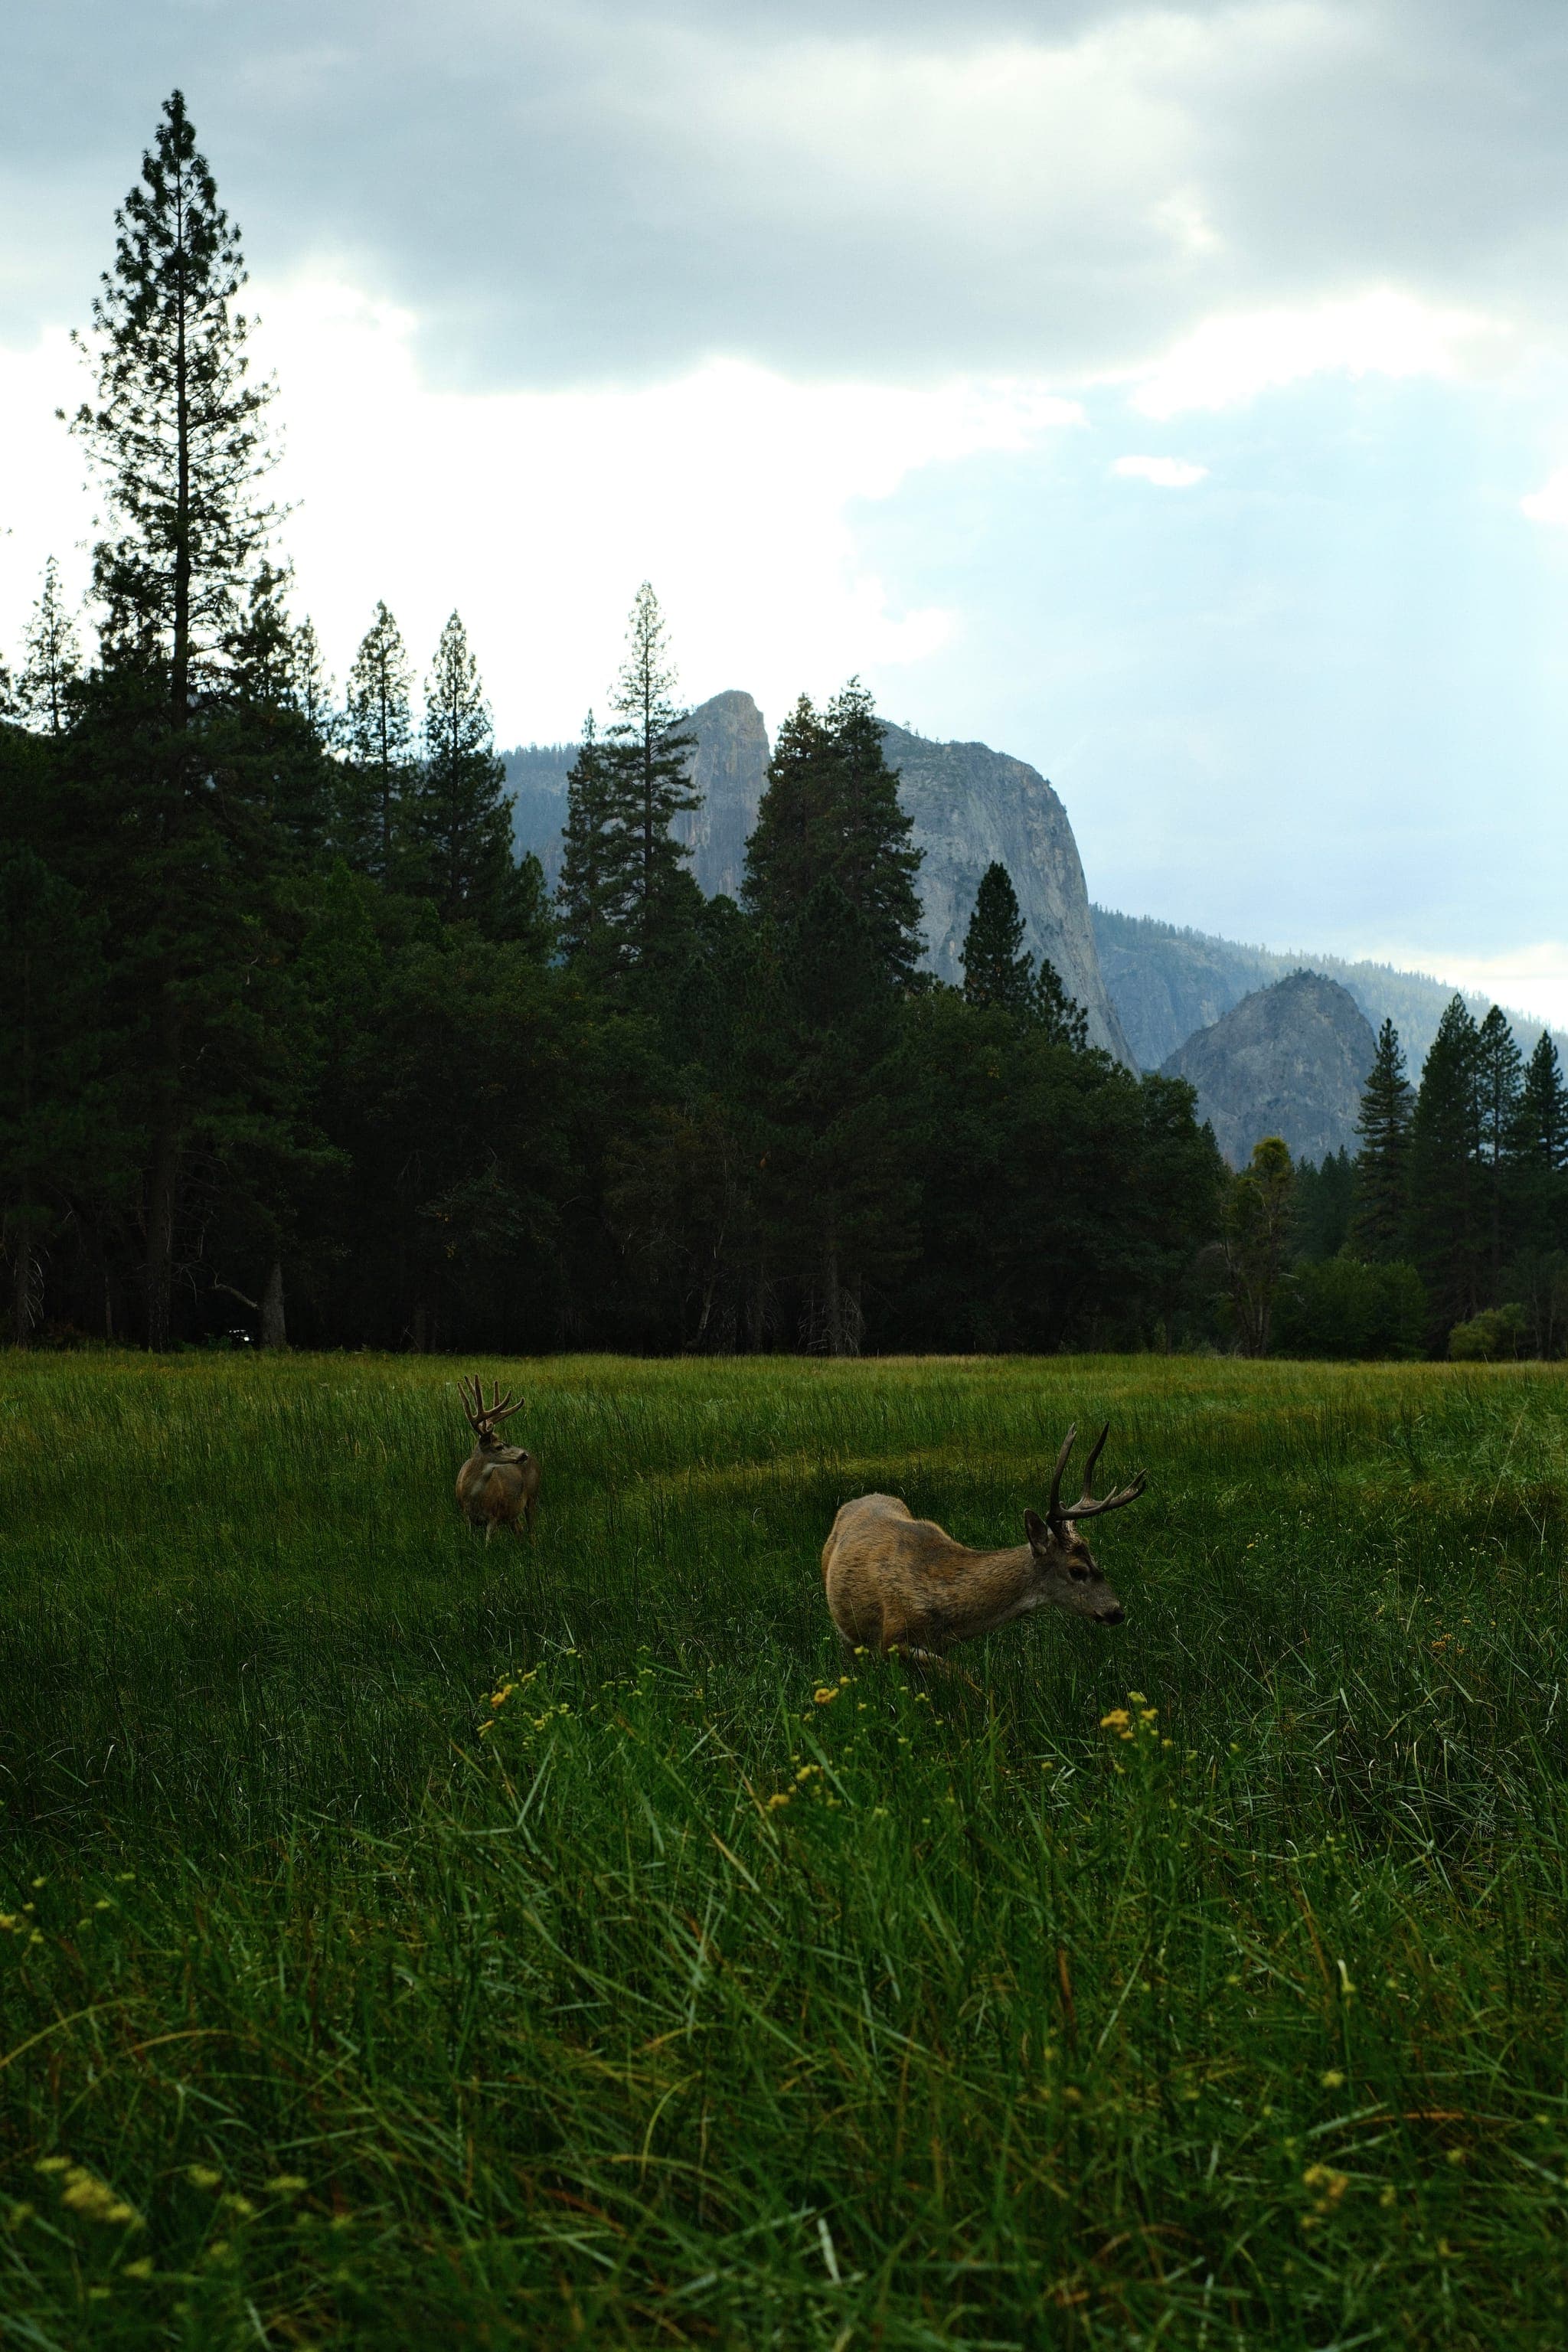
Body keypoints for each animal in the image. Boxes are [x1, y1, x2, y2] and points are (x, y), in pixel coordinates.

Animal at [456, 1376, 541, 1539]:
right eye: (499, 1446)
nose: (524, 1454)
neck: (473, 1497)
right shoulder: (466, 1517)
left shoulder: (493, 1517)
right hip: (512, 1512)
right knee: (519, 1530)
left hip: (532, 1498)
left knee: (532, 1533)